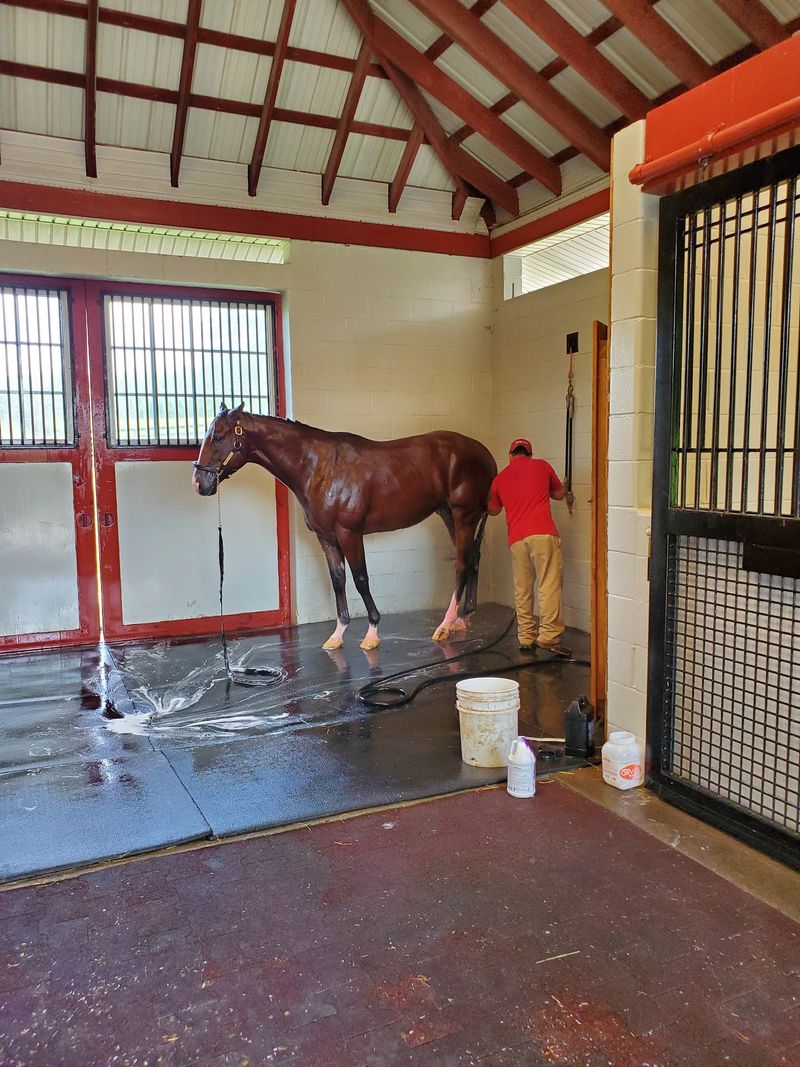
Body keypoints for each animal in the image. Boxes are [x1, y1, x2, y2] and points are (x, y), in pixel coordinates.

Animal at [192, 403, 497, 651]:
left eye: (218, 437)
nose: (199, 483)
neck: (319, 467)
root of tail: (484, 453)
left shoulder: (349, 533)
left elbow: (361, 579)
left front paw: (372, 634)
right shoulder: (326, 537)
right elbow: (338, 579)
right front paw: (337, 636)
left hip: (464, 515)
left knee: (461, 564)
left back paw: (444, 625)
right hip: (449, 514)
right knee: (473, 558)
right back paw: (462, 619)